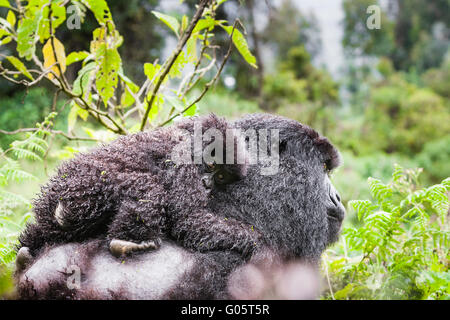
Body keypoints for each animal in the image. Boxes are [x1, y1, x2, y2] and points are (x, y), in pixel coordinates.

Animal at [18, 115, 264, 262]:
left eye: (221, 177)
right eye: (212, 165)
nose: (207, 183)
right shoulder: (182, 157)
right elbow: (188, 217)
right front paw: (254, 241)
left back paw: (26, 251)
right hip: (84, 185)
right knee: (151, 191)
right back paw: (125, 243)